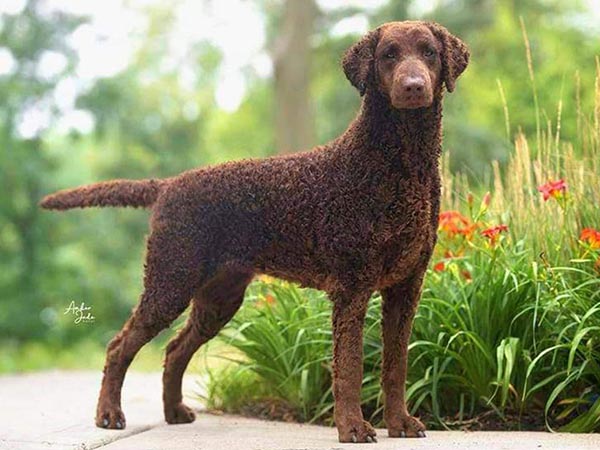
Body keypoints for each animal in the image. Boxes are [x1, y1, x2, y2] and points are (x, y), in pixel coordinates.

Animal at [42, 21, 468, 442]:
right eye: (388, 55)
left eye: (429, 52)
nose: (413, 86)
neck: (399, 168)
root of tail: (166, 185)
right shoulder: (352, 287)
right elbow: (349, 367)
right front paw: (352, 428)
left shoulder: (406, 285)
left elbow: (396, 364)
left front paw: (400, 423)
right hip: (169, 280)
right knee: (119, 346)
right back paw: (109, 414)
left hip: (218, 297)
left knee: (175, 349)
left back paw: (174, 412)